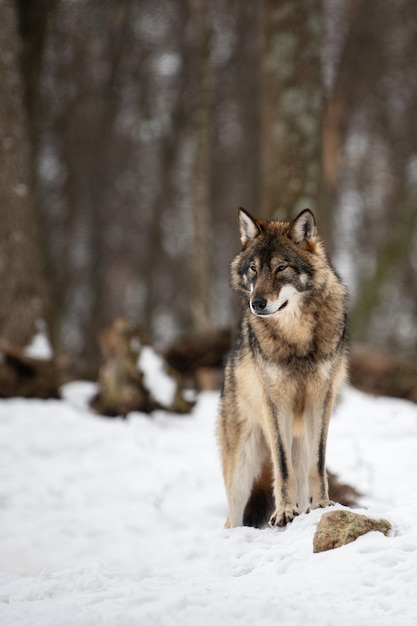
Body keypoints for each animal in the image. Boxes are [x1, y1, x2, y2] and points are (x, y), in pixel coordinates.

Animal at [216, 208, 346, 528]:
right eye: (253, 269)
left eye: (281, 268)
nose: (257, 303)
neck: (296, 336)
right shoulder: (275, 403)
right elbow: (282, 468)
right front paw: (284, 512)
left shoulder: (321, 400)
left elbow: (318, 462)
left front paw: (322, 505)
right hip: (243, 464)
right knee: (233, 516)